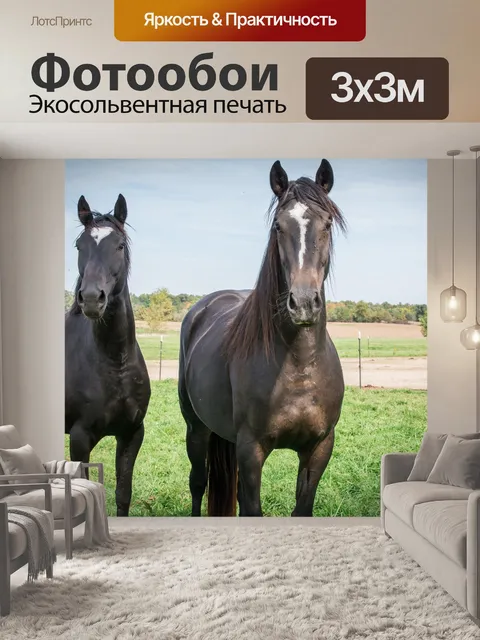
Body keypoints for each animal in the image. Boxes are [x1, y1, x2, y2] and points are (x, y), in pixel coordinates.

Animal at [65, 194, 151, 516]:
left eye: (120, 245)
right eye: (80, 246)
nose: (91, 298)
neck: (114, 363)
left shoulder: (131, 433)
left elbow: (123, 493)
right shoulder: (80, 438)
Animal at [178, 159, 346, 517]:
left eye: (327, 224)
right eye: (278, 226)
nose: (304, 302)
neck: (299, 363)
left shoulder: (319, 449)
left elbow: (301, 509)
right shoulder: (251, 449)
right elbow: (251, 507)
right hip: (196, 428)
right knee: (198, 483)